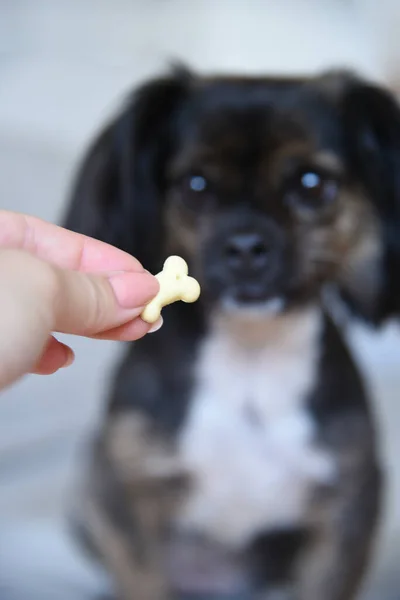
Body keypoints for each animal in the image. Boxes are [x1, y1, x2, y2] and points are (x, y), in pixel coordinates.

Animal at [61, 67, 400, 600]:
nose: (245, 247)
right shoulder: (126, 494)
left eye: (313, 184)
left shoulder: (349, 507)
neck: (249, 361)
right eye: (195, 185)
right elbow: (142, 579)